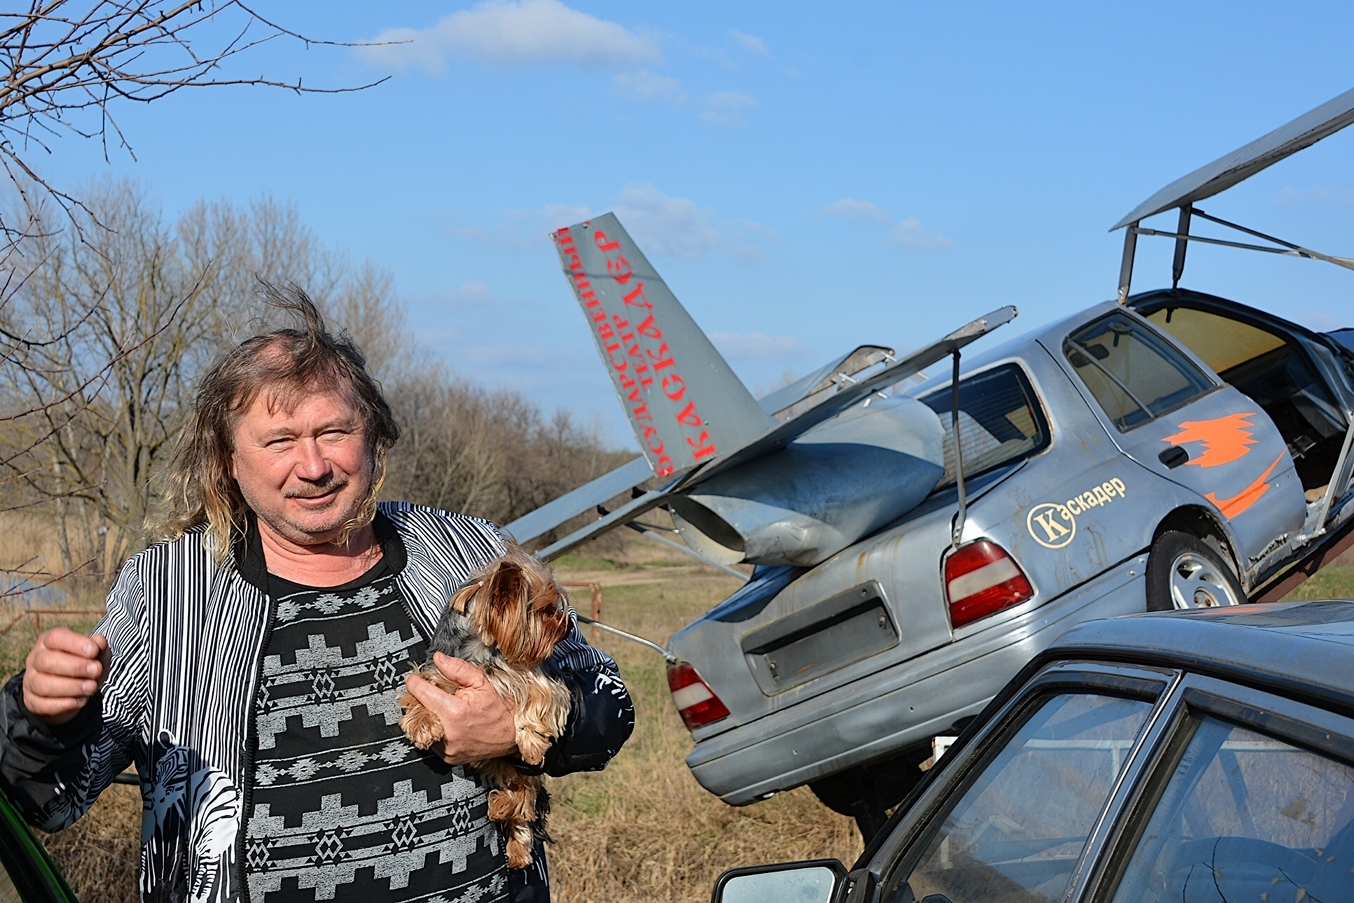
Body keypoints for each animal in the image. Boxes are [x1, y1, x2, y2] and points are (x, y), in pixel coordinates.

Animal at [398, 544, 574, 866]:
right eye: (545, 610)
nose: (566, 627)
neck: (481, 652)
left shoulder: (541, 682)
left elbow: (536, 702)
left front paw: (532, 744)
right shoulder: (432, 673)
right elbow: (418, 694)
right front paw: (422, 725)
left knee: (526, 801)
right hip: (499, 763)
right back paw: (503, 811)